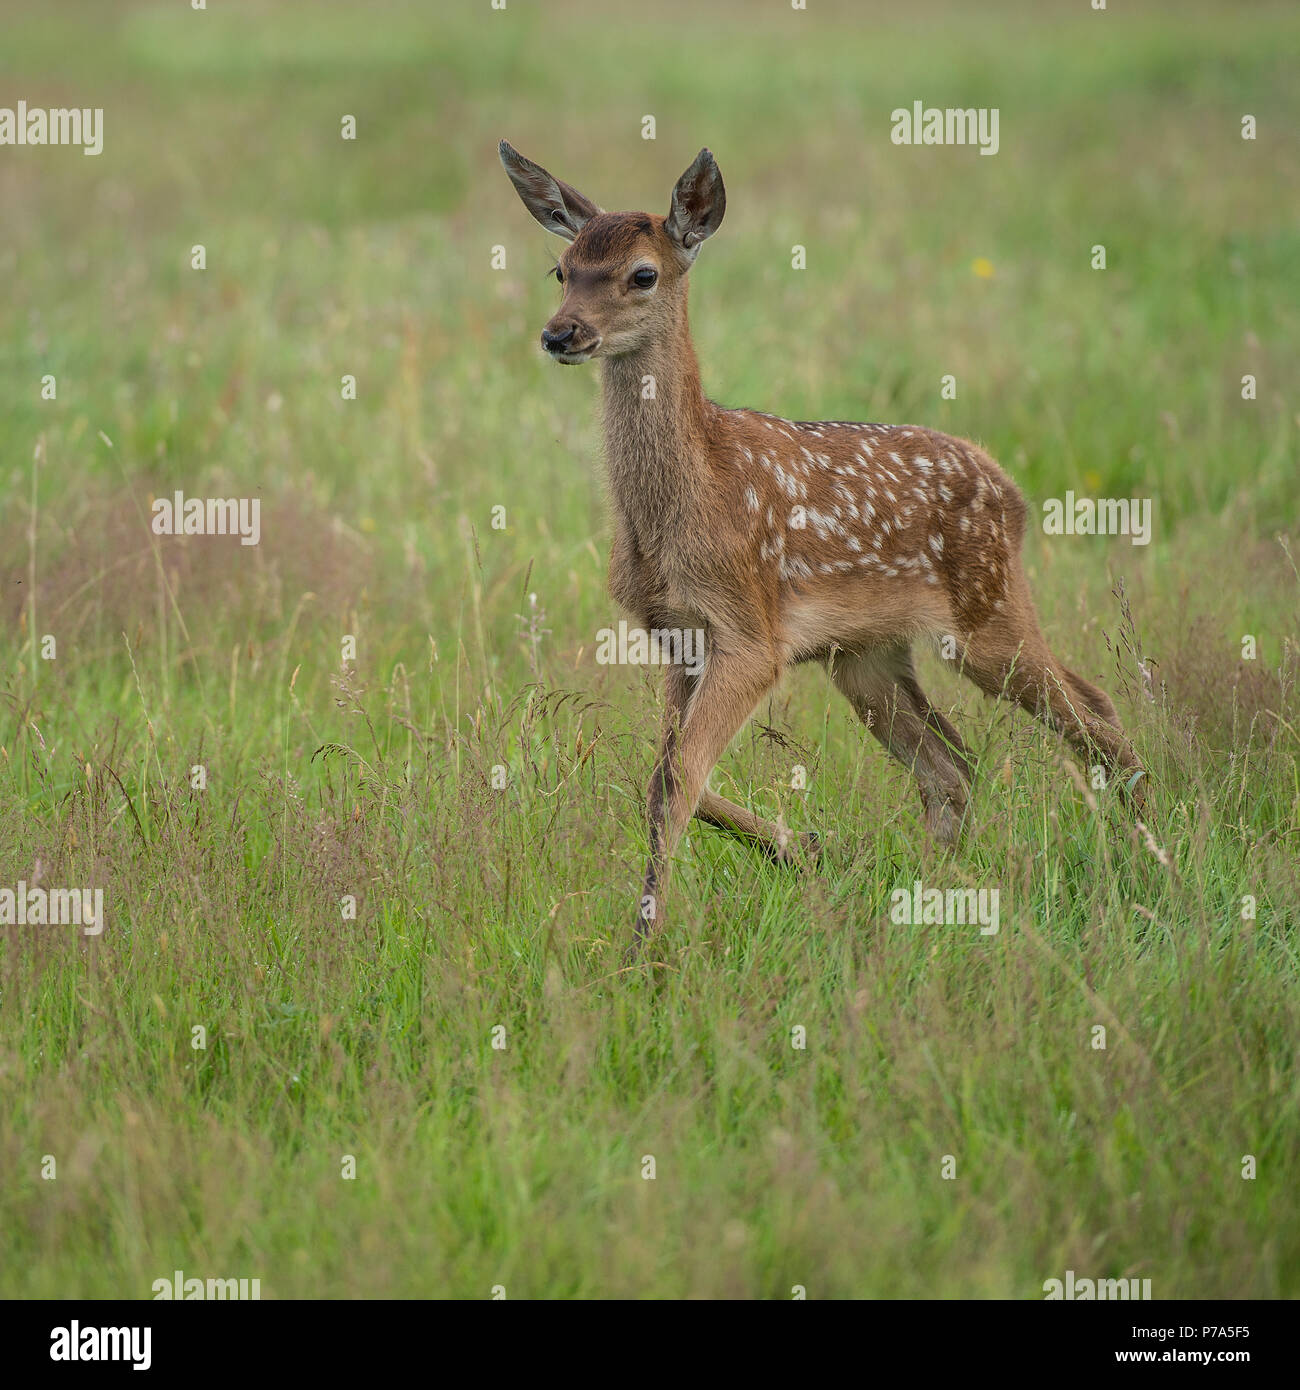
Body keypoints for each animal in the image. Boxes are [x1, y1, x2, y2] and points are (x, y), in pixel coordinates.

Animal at [500, 138, 1151, 945]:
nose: (560, 334)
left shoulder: (751, 632)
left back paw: (1155, 856)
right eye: (561, 270)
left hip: (986, 613)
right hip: (865, 657)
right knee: (953, 766)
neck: (689, 499)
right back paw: (924, 898)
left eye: (642, 273)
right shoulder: (678, 634)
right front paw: (807, 849)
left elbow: (676, 778)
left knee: (1095, 711)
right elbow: (670, 773)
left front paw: (646, 944)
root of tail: (1010, 490)